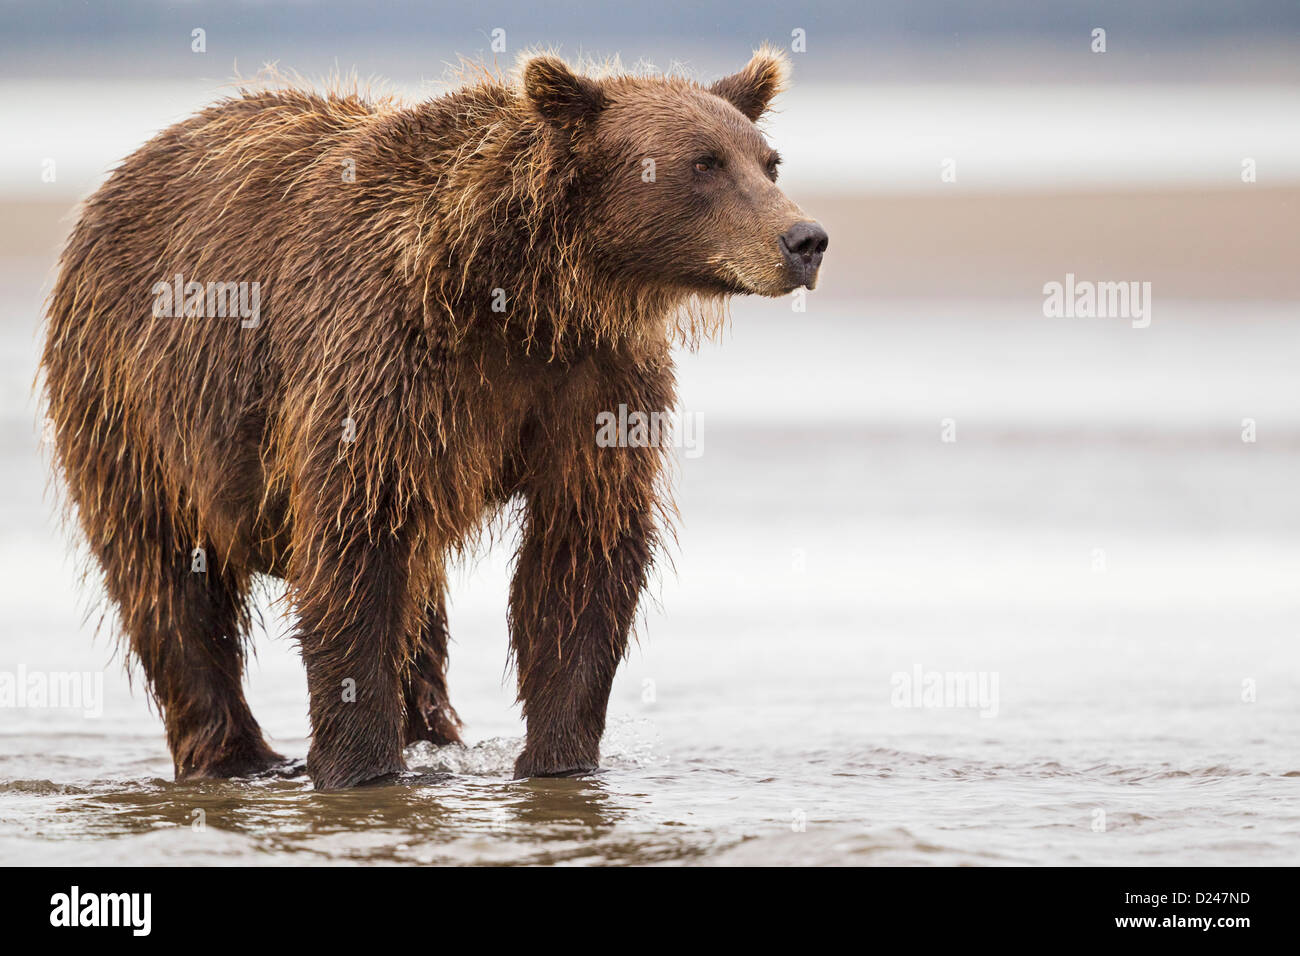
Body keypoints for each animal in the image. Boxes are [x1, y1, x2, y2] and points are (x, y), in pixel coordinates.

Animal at [43, 48, 832, 790]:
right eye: (703, 163)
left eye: (769, 161)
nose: (805, 239)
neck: (523, 295)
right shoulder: (383, 365)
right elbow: (355, 553)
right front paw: (359, 768)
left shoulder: (596, 384)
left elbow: (579, 556)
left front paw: (558, 760)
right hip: (133, 404)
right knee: (170, 584)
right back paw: (240, 756)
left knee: (419, 599)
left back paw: (434, 735)